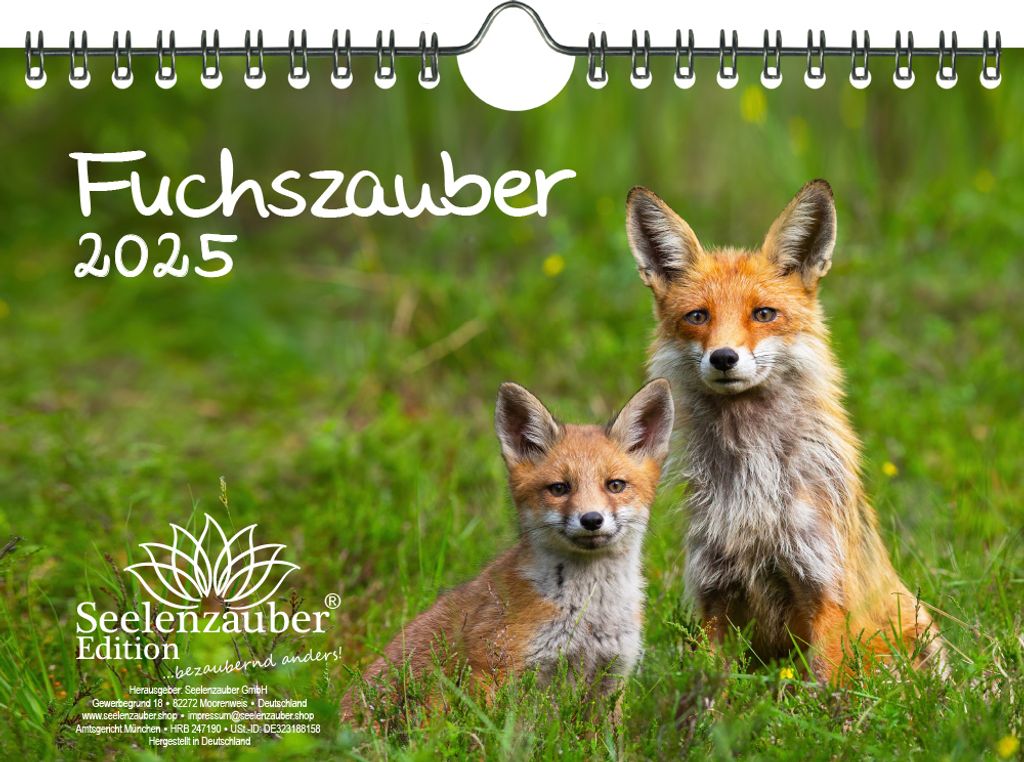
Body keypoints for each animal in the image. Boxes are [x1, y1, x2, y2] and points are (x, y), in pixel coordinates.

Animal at [342, 379, 675, 724]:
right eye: (559, 488)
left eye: (615, 485)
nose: (592, 519)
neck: (589, 613)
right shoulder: (493, 667)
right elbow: (492, 732)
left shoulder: (611, 676)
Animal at [624, 180, 946, 682]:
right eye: (698, 317)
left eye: (763, 313)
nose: (723, 358)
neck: (753, 486)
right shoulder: (715, 591)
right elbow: (710, 688)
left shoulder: (821, 583)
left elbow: (827, 684)